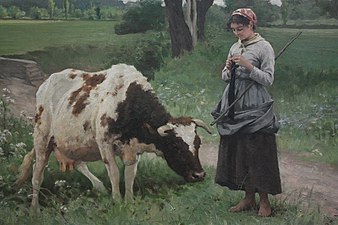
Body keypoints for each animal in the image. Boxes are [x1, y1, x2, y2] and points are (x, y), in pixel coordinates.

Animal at [16, 63, 211, 213]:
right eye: (175, 145)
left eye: (198, 143)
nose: (199, 175)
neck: (127, 103)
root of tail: (47, 81)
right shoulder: (105, 144)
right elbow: (115, 174)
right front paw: (117, 202)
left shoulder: (133, 150)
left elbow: (130, 175)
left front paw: (129, 202)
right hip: (42, 137)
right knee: (37, 173)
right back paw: (34, 210)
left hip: (73, 143)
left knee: (78, 163)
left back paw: (99, 187)